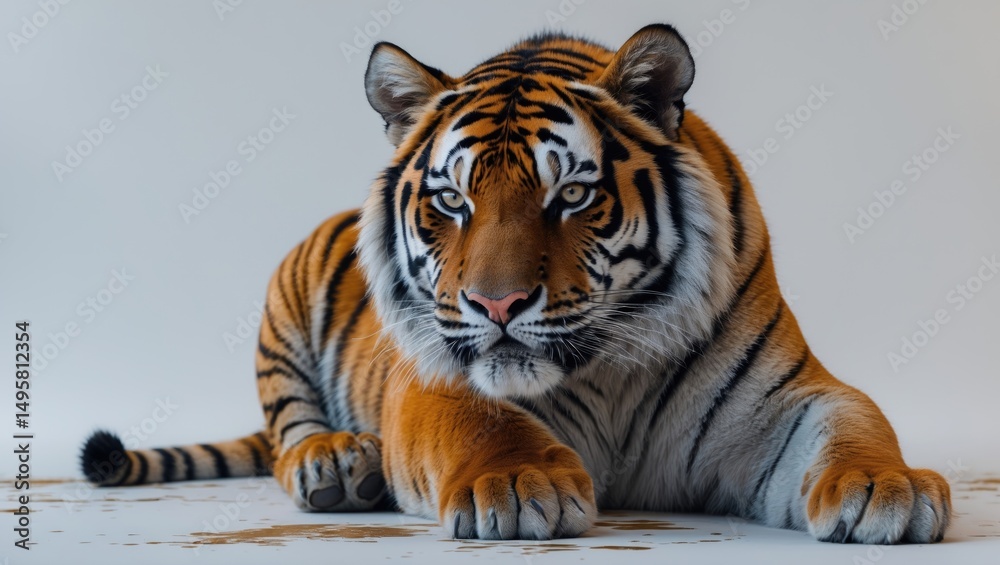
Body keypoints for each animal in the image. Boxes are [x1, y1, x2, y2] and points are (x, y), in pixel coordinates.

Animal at [81, 24, 951, 543]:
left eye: (571, 195)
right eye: (452, 202)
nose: (496, 304)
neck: (609, 370)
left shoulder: (783, 398)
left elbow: (851, 419)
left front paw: (888, 486)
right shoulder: (431, 377)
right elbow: (478, 419)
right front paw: (519, 481)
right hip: (287, 296)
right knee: (289, 430)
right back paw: (338, 461)